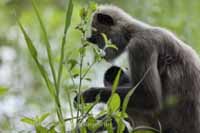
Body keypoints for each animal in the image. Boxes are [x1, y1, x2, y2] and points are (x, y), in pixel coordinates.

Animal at [73, 4, 200, 132]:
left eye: (98, 39)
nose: (101, 51)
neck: (135, 31)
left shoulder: (140, 45)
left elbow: (149, 97)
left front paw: (89, 95)